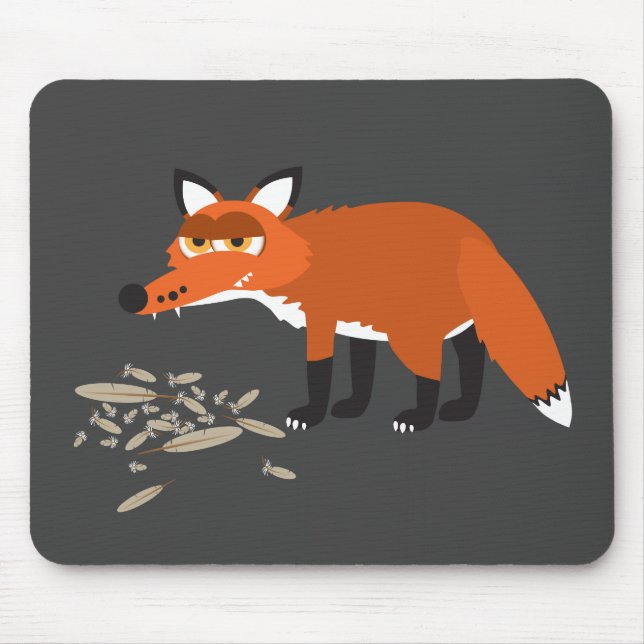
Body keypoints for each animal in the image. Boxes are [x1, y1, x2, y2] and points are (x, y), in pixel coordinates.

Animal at [119, 167, 572, 432]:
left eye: (238, 243)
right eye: (196, 244)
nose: (133, 295)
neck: (303, 260)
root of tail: (478, 238)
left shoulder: (322, 319)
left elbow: (319, 370)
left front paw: (310, 416)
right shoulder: (356, 324)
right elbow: (360, 371)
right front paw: (353, 407)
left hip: (412, 334)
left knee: (433, 373)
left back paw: (421, 419)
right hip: (460, 325)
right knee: (473, 358)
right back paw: (462, 409)